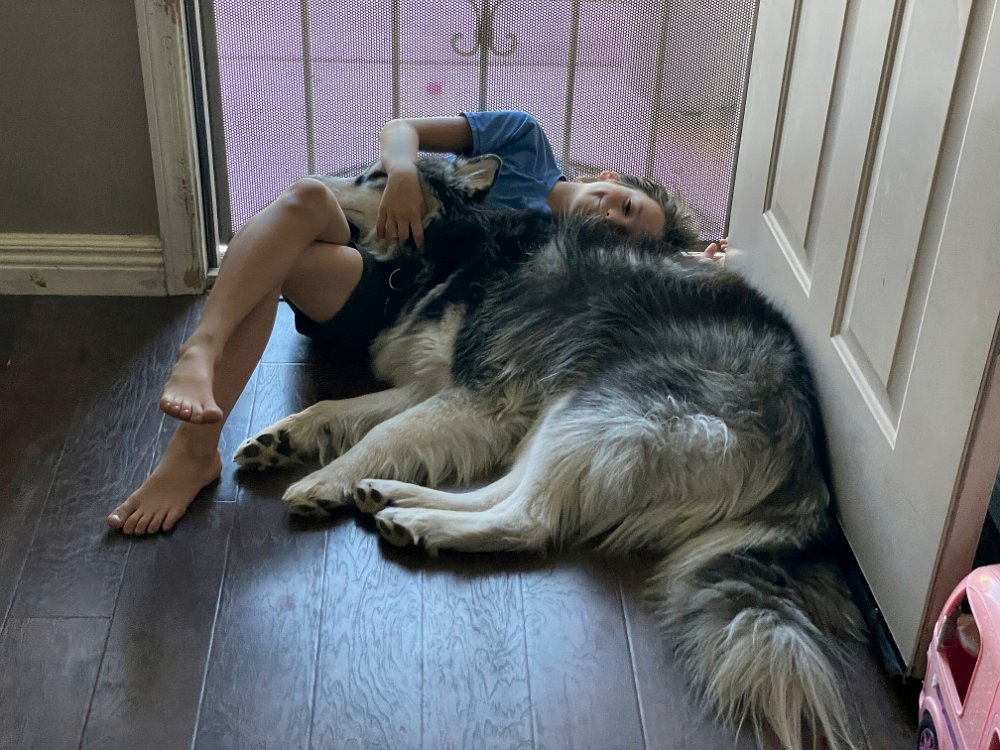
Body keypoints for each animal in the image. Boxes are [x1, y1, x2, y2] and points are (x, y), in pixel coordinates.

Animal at [234, 155, 867, 750]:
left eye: (376, 176)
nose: (303, 182)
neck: (452, 246)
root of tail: (809, 472)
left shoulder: (480, 395)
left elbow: (379, 436)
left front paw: (324, 481)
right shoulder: (439, 387)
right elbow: (338, 411)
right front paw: (284, 438)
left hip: (594, 403)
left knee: (528, 518)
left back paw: (421, 522)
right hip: (563, 410)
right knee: (509, 492)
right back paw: (399, 500)